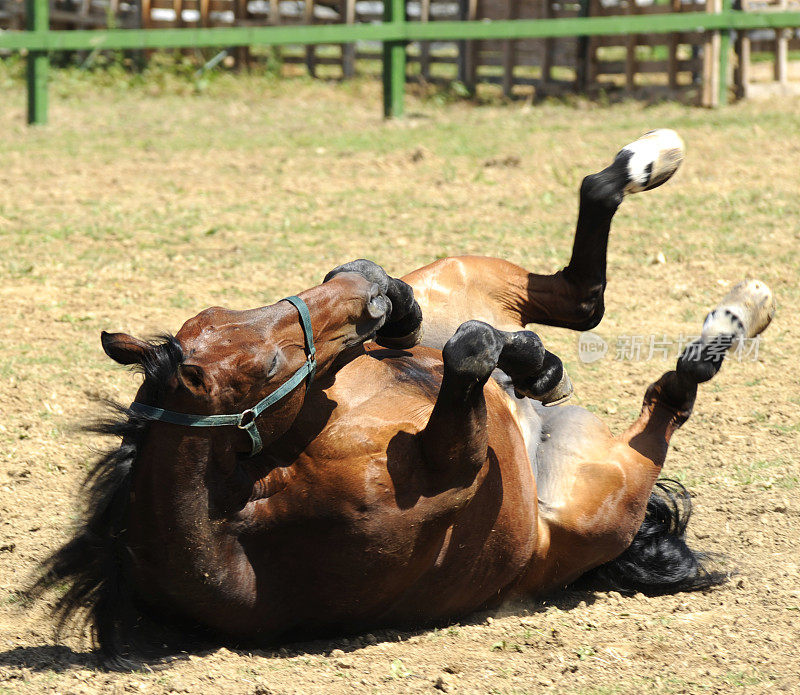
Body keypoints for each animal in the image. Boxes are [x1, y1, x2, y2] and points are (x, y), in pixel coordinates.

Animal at [32, 128, 776, 668]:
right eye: (270, 362)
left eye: (222, 312)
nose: (363, 293)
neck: (255, 518)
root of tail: (545, 436)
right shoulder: (457, 466)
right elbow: (470, 353)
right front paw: (516, 356)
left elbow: (465, 348)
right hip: (610, 490)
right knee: (664, 385)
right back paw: (722, 321)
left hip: (464, 272)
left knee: (579, 289)